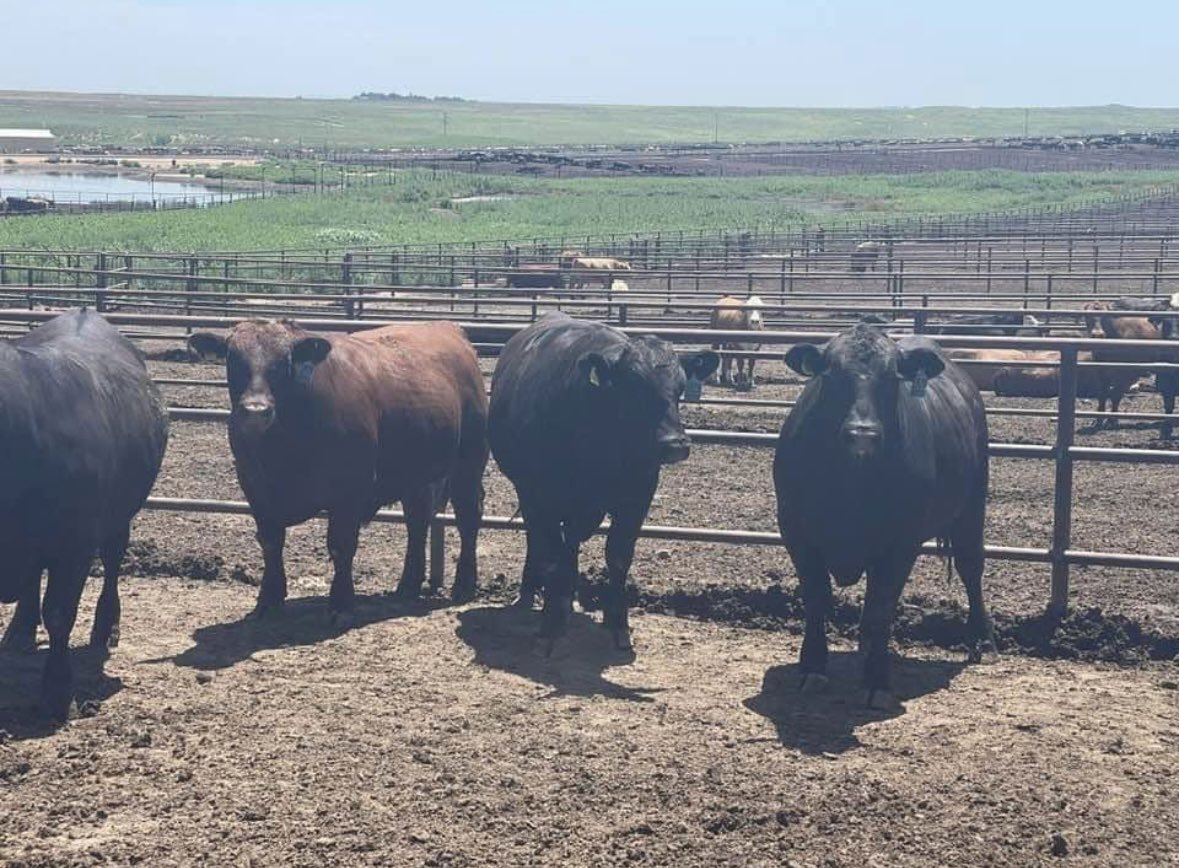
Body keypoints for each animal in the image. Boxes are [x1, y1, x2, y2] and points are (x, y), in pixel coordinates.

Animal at [0, 310, 169, 718]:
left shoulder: (74, 544)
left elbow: (60, 612)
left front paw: (56, 692)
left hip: (117, 520)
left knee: (112, 563)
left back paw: (106, 629)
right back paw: (19, 631)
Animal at [188, 319, 488, 616]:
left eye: (284, 363)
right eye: (233, 359)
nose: (255, 410)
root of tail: (449, 328)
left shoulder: (350, 489)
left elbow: (341, 545)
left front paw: (341, 601)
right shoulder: (255, 487)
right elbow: (271, 543)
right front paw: (269, 599)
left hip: (468, 464)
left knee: (468, 516)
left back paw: (463, 584)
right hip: (416, 477)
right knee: (417, 521)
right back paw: (408, 585)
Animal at [488, 313, 718, 650]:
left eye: (679, 389)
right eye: (634, 388)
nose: (675, 444)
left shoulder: (638, 495)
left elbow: (619, 556)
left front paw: (617, 622)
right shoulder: (542, 493)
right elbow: (552, 553)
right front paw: (551, 621)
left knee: (568, 543)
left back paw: (566, 596)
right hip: (528, 493)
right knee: (540, 541)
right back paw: (534, 594)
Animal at [774, 324, 992, 708]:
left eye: (892, 379)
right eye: (831, 376)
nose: (862, 434)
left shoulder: (901, 542)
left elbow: (881, 606)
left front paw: (877, 679)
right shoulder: (795, 530)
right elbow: (816, 598)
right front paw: (812, 666)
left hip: (972, 506)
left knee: (971, 567)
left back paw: (978, 638)